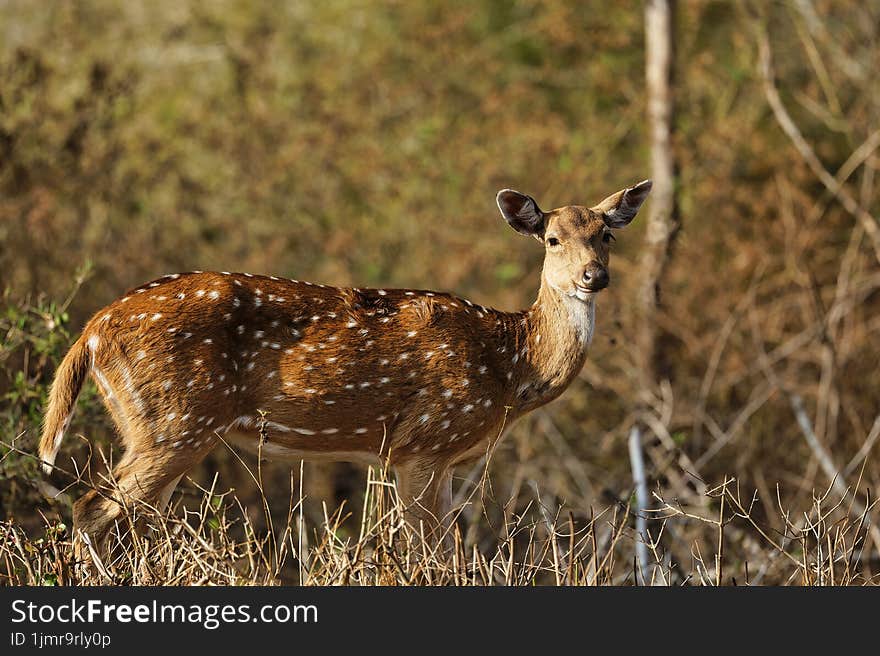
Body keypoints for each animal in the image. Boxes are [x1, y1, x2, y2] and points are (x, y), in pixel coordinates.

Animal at [39, 181, 648, 552]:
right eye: (552, 238)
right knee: (91, 507)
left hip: (156, 424)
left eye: (607, 235)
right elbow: (429, 552)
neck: (510, 368)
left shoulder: (443, 459)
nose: (594, 276)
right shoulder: (423, 442)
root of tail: (91, 331)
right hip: (174, 419)